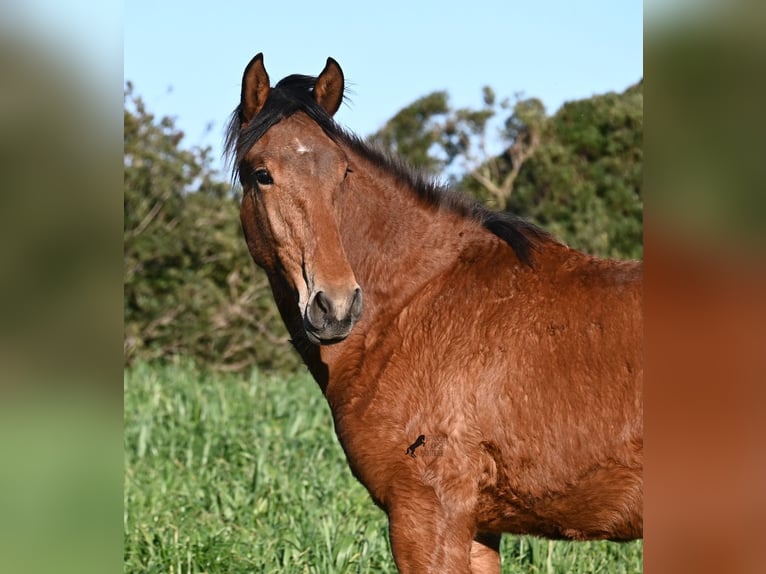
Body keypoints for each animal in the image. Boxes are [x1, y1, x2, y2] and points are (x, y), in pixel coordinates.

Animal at [225, 53, 643, 573]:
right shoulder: (479, 528)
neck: (415, 304)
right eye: (262, 174)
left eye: (343, 173)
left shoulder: (426, 515)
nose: (335, 305)